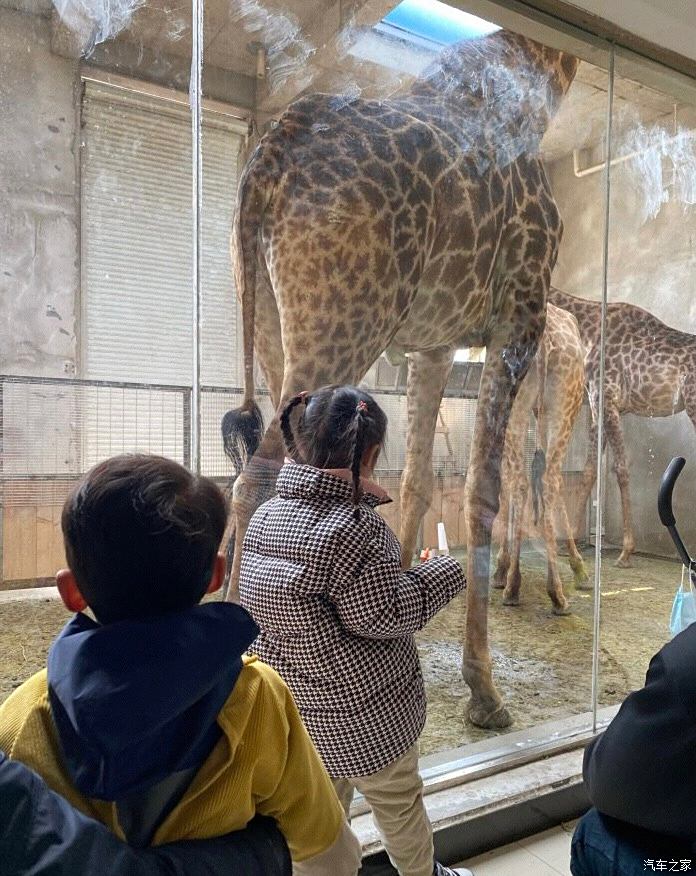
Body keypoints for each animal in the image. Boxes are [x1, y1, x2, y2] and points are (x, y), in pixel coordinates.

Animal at [494, 302, 588, 616]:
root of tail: (546, 339)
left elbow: (506, 484)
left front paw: (501, 567)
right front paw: (578, 567)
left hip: (520, 407)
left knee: (522, 482)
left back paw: (514, 585)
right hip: (561, 406)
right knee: (548, 480)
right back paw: (556, 593)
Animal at [548, 288, 696, 568]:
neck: (587, 333)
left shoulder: (606, 399)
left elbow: (621, 469)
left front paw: (626, 552)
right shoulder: (599, 405)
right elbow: (590, 470)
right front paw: (568, 545)